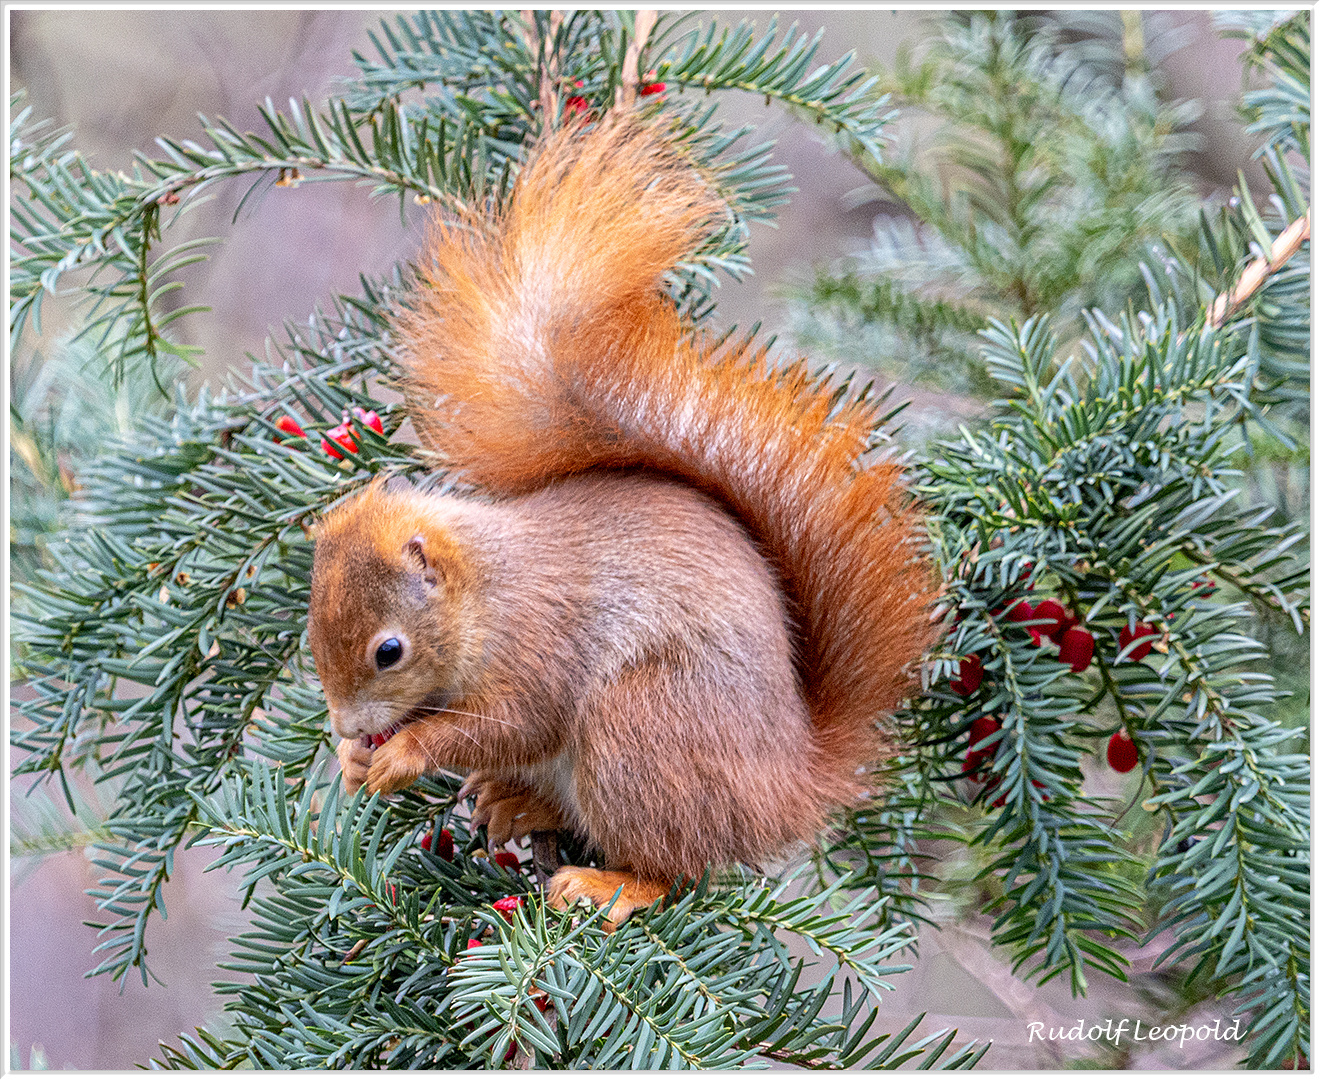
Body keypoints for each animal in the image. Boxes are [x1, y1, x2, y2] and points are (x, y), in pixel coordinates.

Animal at [303, 117, 934, 924]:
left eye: (389, 651)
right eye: (311, 635)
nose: (350, 727)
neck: (487, 591)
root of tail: (789, 784)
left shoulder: (541, 643)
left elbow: (513, 723)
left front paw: (406, 752)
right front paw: (353, 759)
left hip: (639, 728)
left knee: (676, 866)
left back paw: (610, 884)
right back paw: (518, 804)